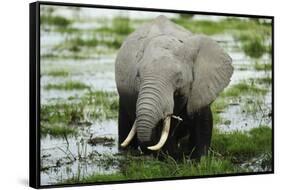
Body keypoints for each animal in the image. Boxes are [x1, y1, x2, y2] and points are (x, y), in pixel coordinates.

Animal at [114, 15, 232, 160]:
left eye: (179, 78)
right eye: (138, 76)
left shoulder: (200, 88)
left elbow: (203, 122)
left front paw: (200, 159)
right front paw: (171, 157)